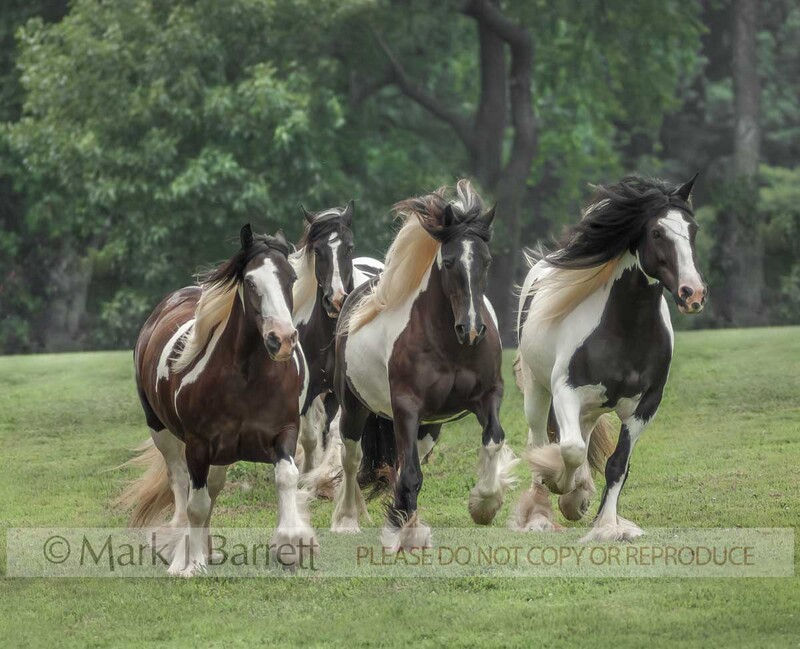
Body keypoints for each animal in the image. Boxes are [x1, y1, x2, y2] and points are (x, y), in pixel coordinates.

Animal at [118, 224, 317, 576]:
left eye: (291, 278)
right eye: (250, 281)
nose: (281, 340)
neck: (247, 380)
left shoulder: (285, 433)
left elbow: (286, 477)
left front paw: (291, 546)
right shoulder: (197, 445)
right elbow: (196, 504)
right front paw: (192, 563)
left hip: (222, 455)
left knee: (211, 487)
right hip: (162, 433)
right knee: (180, 485)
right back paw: (180, 551)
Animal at [289, 201, 383, 478]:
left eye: (348, 247)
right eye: (317, 250)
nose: (336, 299)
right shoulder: (310, 391)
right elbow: (310, 437)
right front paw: (308, 473)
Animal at [331, 180, 517, 551]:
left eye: (487, 261)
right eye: (448, 261)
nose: (471, 329)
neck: (450, 347)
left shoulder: (488, 395)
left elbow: (493, 439)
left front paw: (484, 505)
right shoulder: (406, 407)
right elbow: (409, 475)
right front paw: (398, 532)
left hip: (429, 428)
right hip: (356, 408)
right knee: (352, 458)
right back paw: (346, 520)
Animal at [512, 175, 707, 542]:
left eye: (693, 229)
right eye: (657, 232)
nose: (693, 294)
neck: (625, 329)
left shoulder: (646, 404)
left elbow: (617, 464)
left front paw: (605, 522)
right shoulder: (566, 391)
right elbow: (569, 449)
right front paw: (566, 492)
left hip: (590, 408)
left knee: (582, 438)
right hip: (537, 390)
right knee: (539, 442)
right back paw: (540, 515)